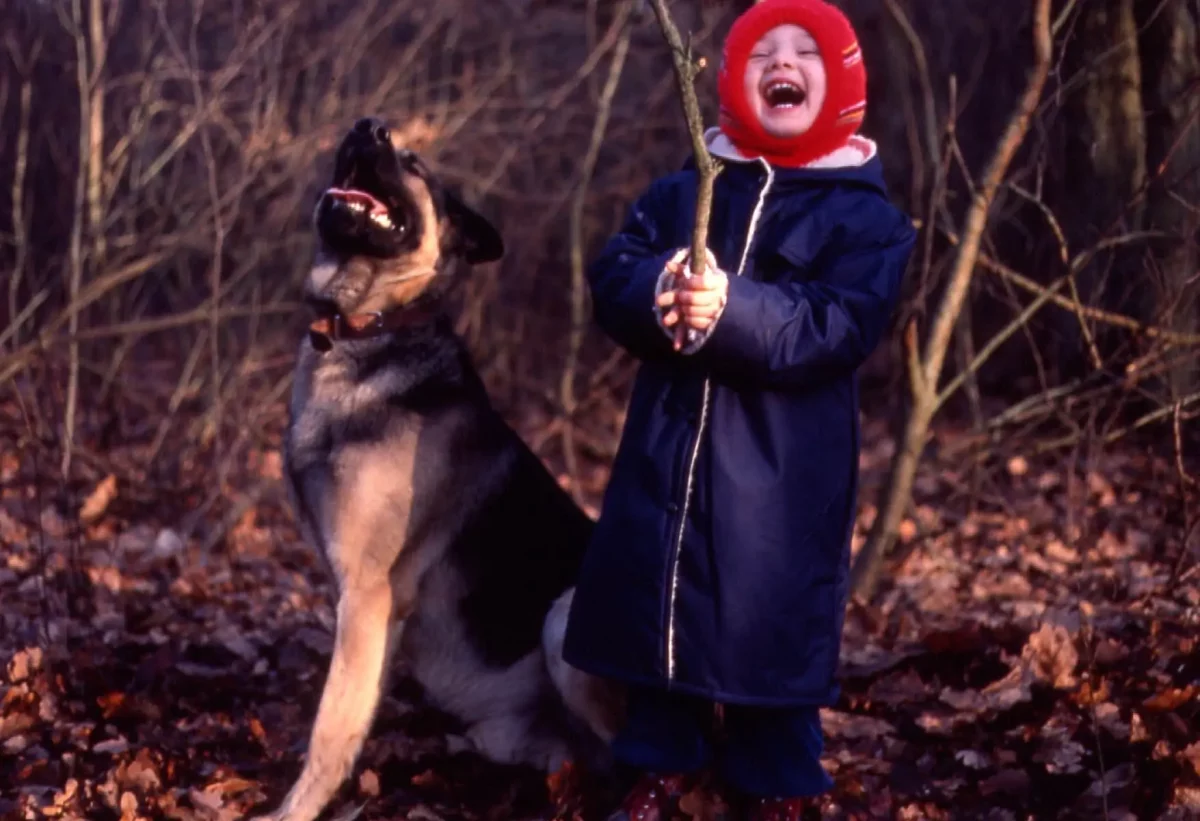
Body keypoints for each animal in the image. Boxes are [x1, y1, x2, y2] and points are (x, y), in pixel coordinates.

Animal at [254, 120, 628, 820]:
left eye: (416, 165)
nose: (366, 126)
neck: (369, 330)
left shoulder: (366, 593)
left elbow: (331, 725)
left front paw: (297, 807)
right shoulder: (373, 611)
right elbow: (353, 709)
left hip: (564, 618)